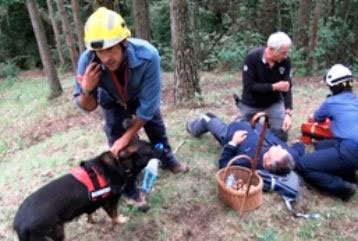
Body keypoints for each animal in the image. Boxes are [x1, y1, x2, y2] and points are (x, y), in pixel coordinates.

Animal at [13, 140, 156, 241]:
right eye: (149, 150)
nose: (159, 147)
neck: (118, 163)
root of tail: (19, 224)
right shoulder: (110, 202)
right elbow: (114, 215)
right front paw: (120, 221)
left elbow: (90, 212)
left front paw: (91, 220)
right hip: (56, 233)